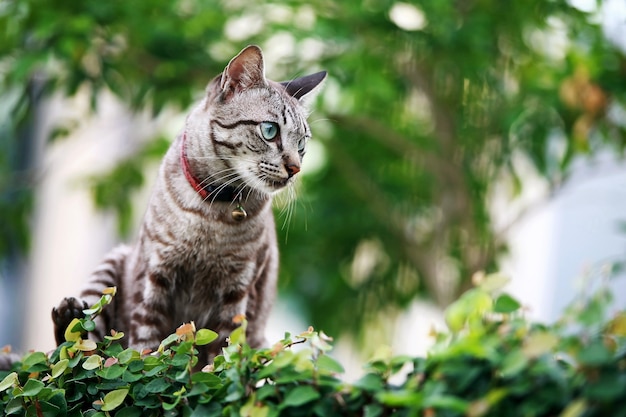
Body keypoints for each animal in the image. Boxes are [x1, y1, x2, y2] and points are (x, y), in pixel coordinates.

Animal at [50, 45, 324, 362]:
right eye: (270, 131)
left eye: (302, 145)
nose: (295, 169)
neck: (213, 211)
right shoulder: (155, 276)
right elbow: (146, 349)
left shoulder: (238, 291)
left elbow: (224, 355)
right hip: (110, 270)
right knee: (80, 349)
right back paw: (68, 313)